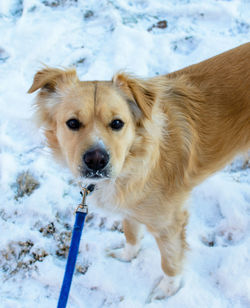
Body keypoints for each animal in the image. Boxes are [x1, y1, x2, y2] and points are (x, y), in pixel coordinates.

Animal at [28, 43, 249, 300]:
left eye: (117, 123)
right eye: (72, 123)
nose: (96, 160)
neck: (135, 160)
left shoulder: (169, 223)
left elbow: (170, 262)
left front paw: (166, 290)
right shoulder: (130, 206)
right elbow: (131, 233)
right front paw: (127, 256)